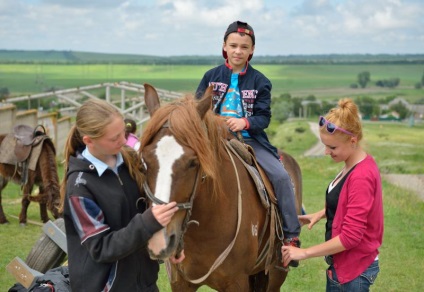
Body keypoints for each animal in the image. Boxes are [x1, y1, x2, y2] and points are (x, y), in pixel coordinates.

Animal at [141, 83, 304, 290]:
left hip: (275, 274)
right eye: (144, 161)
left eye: (193, 162)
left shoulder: (237, 282)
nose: (158, 240)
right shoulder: (180, 283)